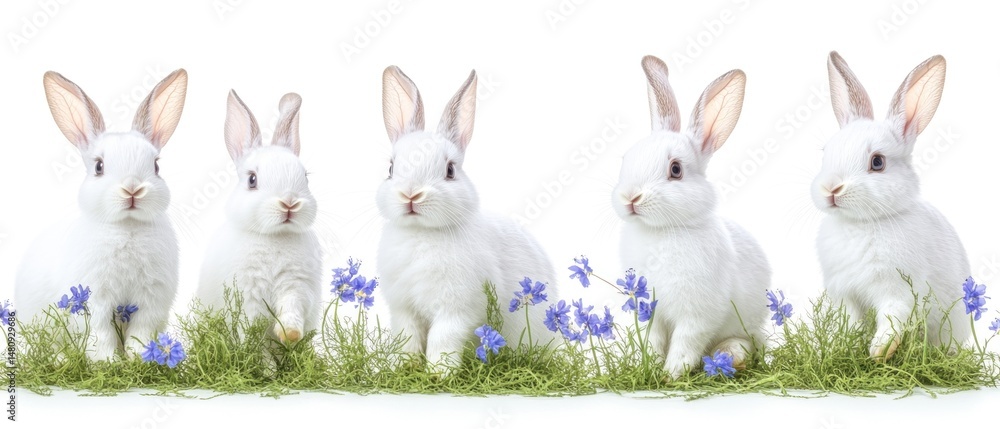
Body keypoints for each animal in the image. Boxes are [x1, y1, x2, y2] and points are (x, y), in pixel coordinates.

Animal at [14, 69, 188, 360]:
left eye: (155, 166)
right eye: (98, 166)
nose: (132, 189)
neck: (127, 227)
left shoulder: (151, 299)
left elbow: (141, 333)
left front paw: (139, 360)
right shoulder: (95, 298)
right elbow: (100, 333)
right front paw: (107, 362)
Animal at [196, 90, 322, 344]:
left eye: (305, 177)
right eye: (252, 179)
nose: (289, 203)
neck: (274, 236)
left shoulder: (296, 285)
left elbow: (292, 308)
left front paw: (290, 335)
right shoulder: (248, 294)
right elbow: (253, 332)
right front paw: (256, 354)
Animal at [377, 66, 558, 375]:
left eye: (450, 170)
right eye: (390, 168)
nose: (411, 194)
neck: (421, 234)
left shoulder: (457, 310)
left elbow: (442, 339)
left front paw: (439, 374)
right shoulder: (403, 309)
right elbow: (407, 338)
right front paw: (403, 369)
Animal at [612, 55, 771, 380]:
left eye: (676, 169)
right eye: (626, 158)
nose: (630, 197)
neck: (660, 231)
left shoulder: (698, 313)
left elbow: (686, 342)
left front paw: (671, 374)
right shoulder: (650, 312)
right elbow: (654, 340)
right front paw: (649, 368)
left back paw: (730, 356)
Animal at [813, 51, 969, 360]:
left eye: (877, 162)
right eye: (826, 152)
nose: (831, 189)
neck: (860, 224)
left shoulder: (898, 290)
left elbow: (891, 319)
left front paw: (878, 352)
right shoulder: (844, 293)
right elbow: (850, 323)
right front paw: (845, 349)